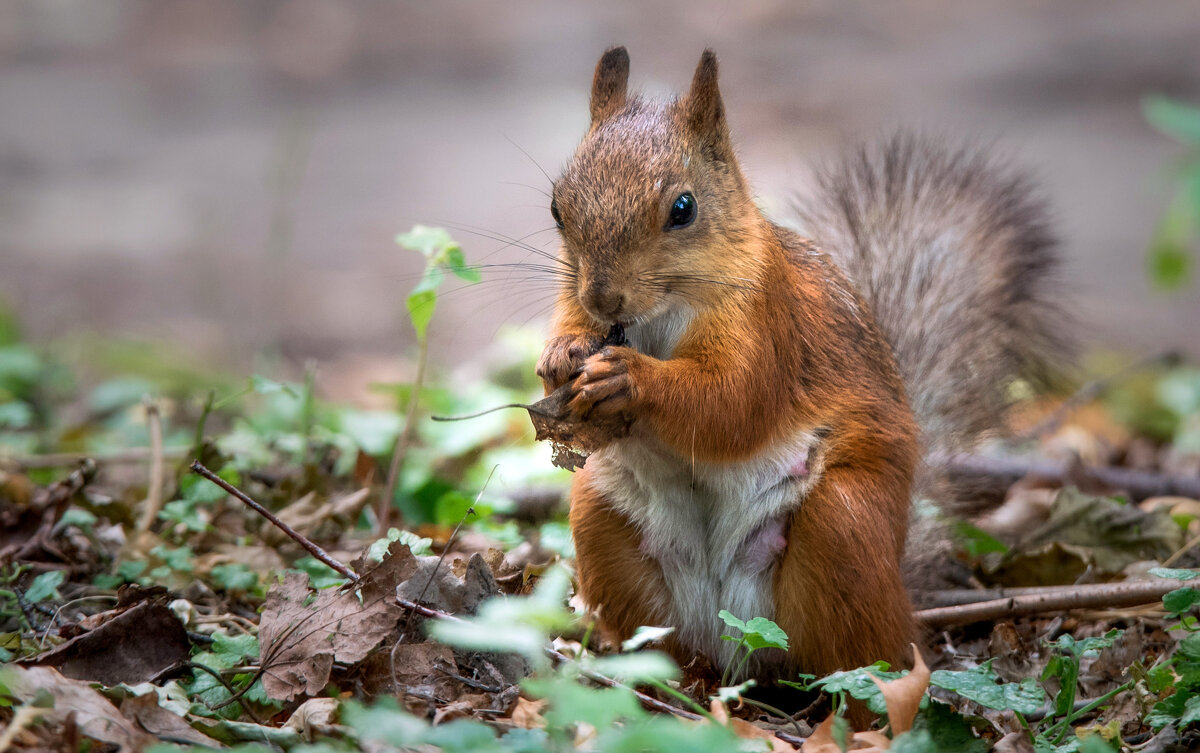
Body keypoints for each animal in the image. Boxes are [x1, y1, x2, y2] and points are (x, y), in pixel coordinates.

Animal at [540, 48, 1065, 690]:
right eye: (557, 208)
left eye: (683, 209)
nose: (603, 300)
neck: (660, 316)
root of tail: (741, 645)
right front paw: (560, 357)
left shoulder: (769, 321)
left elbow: (732, 405)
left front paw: (629, 379)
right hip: (602, 522)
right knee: (673, 651)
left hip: (844, 528)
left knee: (870, 662)